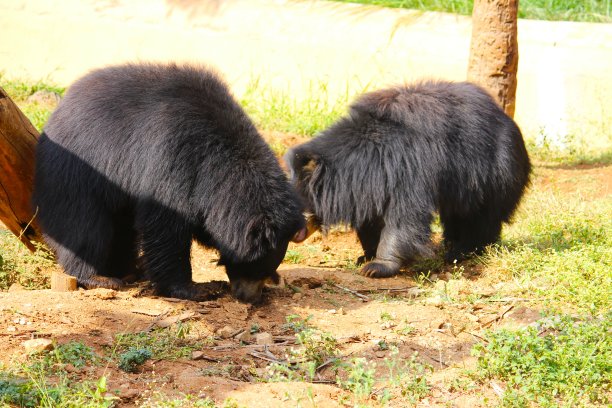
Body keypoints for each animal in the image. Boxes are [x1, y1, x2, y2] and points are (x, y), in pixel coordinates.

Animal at [33, 62, 306, 302]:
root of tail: (58, 111)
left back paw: (127, 270)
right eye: (254, 265)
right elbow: (166, 224)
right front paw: (196, 290)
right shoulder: (175, 157)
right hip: (76, 173)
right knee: (84, 225)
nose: (250, 298)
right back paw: (99, 278)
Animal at [286, 80, 532, 278]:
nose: (294, 235)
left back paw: (463, 251)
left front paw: (376, 267)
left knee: (481, 216)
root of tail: (509, 122)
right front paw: (366, 257)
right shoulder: (371, 185)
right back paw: (451, 246)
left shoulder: (408, 167)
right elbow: (372, 219)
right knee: (458, 214)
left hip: (495, 171)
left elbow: (404, 217)